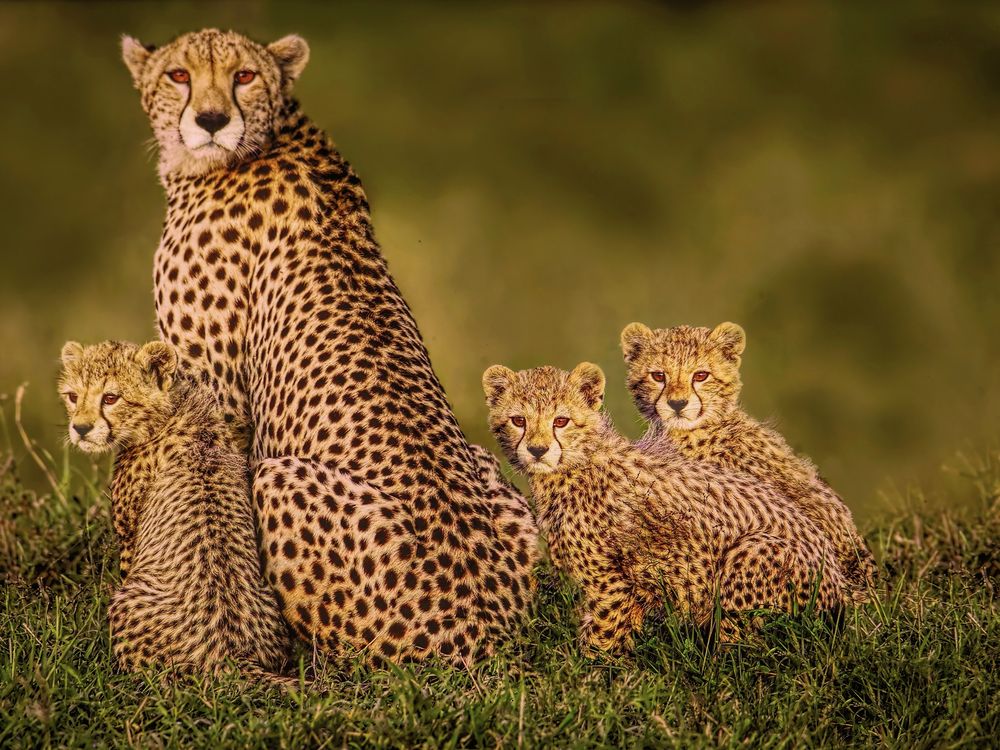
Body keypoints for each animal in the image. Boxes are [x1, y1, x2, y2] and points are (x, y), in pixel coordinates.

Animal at [58, 340, 292, 679]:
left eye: (111, 398)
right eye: (73, 396)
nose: (80, 428)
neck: (171, 409)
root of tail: (235, 653)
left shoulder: (129, 538)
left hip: (126, 604)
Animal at [121, 28, 537, 664]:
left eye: (244, 76)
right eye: (178, 76)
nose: (212, 120)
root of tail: (487, 632)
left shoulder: (211, 399)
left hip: (278, 482)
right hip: (501, 484)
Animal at [483, 362, 850, 652]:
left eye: (561, 421)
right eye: (518, 420)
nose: (538, 450)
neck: (578, 462)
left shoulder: (611, 584)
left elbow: (601, 641)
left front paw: (591, 682)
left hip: (750, 555)